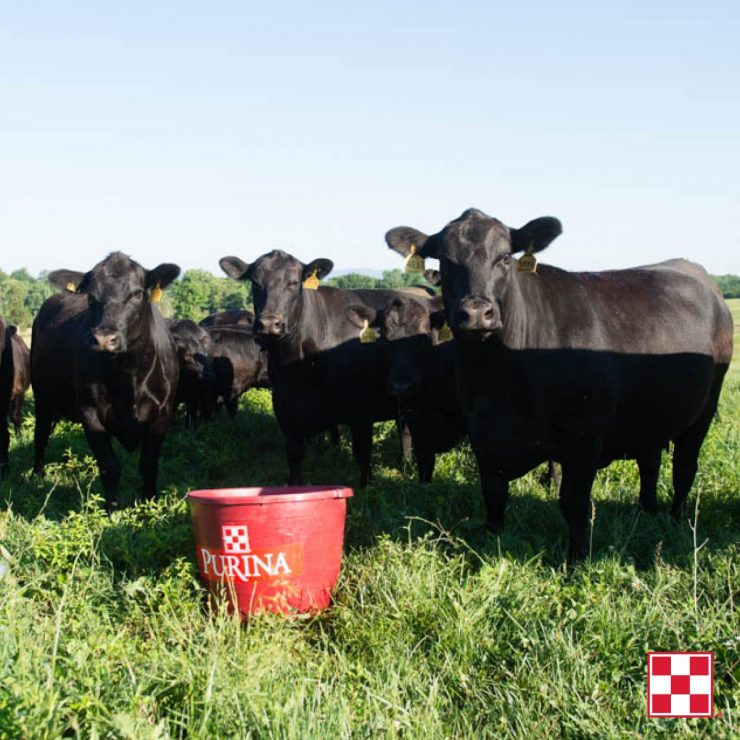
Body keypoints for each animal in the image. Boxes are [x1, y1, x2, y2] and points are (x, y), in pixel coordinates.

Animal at [31, 253, 182, 508]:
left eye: (136, 294)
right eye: (92, 297)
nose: (104, 339)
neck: (128, 375)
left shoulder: (163, 412)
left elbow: (149, 464)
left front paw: (150, 504)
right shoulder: (90, 413)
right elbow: (109, 467)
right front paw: (111, 510)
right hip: (41, 396)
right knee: (40, 436)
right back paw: (37, 477)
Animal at [217, 251, 420, 488]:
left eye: (294, 283)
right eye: (255, 283)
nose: (269, 323)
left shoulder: (361, 411)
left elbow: (362, 455)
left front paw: (367, 487)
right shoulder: (286, 411)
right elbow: (294, 458)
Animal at [388, 211, 736, 556]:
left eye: (504, 258)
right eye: (445, 261)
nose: (475, 313)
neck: (499, 376)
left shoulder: (585, 438)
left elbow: (574, 502)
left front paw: (577, 558)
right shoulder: (482, 434)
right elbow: (494, 496)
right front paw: (489, 547)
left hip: (703, 411)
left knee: (684, 469)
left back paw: (676, 521)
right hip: (649, 415)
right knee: (650, 463)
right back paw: (646, 512)